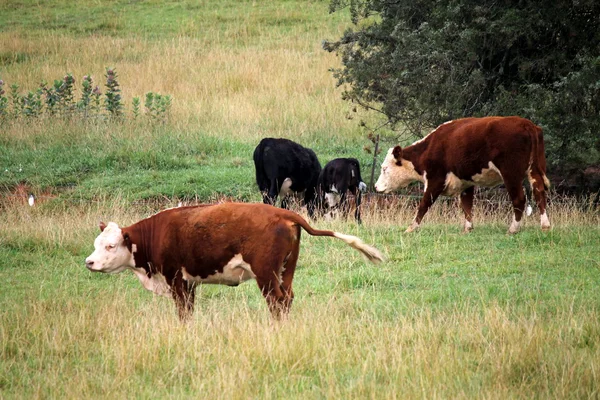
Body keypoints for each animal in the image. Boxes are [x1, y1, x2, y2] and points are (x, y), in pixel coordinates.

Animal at [85, 202, 384, 320]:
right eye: (96, 243)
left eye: (111, 245)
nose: (89, 263)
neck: (157, 233)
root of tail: (283, 213)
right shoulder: (189, 283)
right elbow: (189, 310)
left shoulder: (176, 280)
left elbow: (182, 311)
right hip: (286, 271)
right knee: (287, 299)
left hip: (266, 275)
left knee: (276, 301)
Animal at [378, 115, 552, 234]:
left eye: (384, 168)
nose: (376, 186)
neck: (430, 148)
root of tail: (526, 124)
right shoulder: (466, 182)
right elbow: (467, 205)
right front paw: (468, 228)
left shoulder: (435, 180)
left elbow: (424, 204)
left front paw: (411, 228)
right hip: (534, 171)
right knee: (539, 193)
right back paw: (545, 225)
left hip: (511, 174)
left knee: (519, 199)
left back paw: (513, 229)